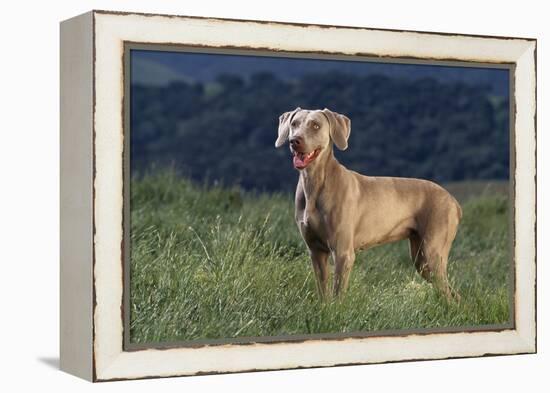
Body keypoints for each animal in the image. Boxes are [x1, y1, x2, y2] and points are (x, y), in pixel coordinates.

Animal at [274, 107, 462, 300]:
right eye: (294, 124)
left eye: (315, 126)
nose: (294, 141)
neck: (314, 184)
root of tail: (453, 201)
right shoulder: (316, 252)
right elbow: (323, 294)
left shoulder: (343, 253)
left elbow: (338, 296)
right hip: (421, 259)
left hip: (432, 253)